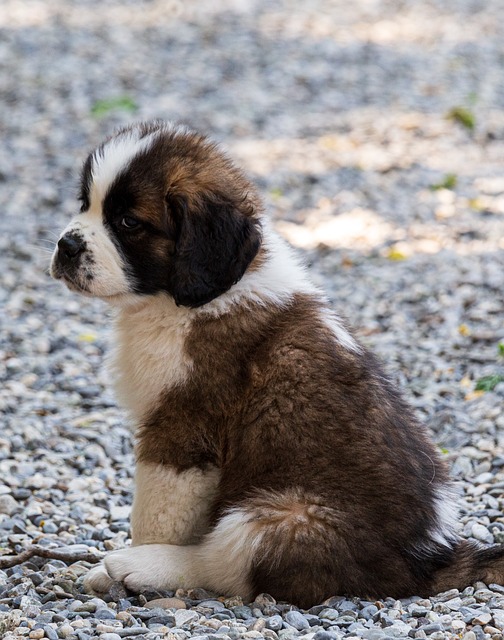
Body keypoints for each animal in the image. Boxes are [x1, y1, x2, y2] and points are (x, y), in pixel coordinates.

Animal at [51, 121, 504, 608]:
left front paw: (130, 560)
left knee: (223, 563)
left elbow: (156, 514)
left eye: (129, 223)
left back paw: (139, 566)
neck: (190, 298)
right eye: (85, 204)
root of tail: (429, 559)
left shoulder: (180, 433)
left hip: (278, 516)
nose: (66, 245)